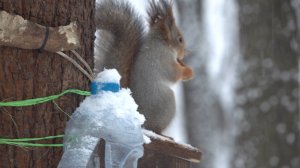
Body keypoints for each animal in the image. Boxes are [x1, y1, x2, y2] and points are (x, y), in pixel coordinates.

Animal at [94, 0, 192, 134]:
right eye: (180, 39)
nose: (184, 54)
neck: (161, 43)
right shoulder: (163, 58)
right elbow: (174, 73)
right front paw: (189, 72)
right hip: (167, 103)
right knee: (155, 128)